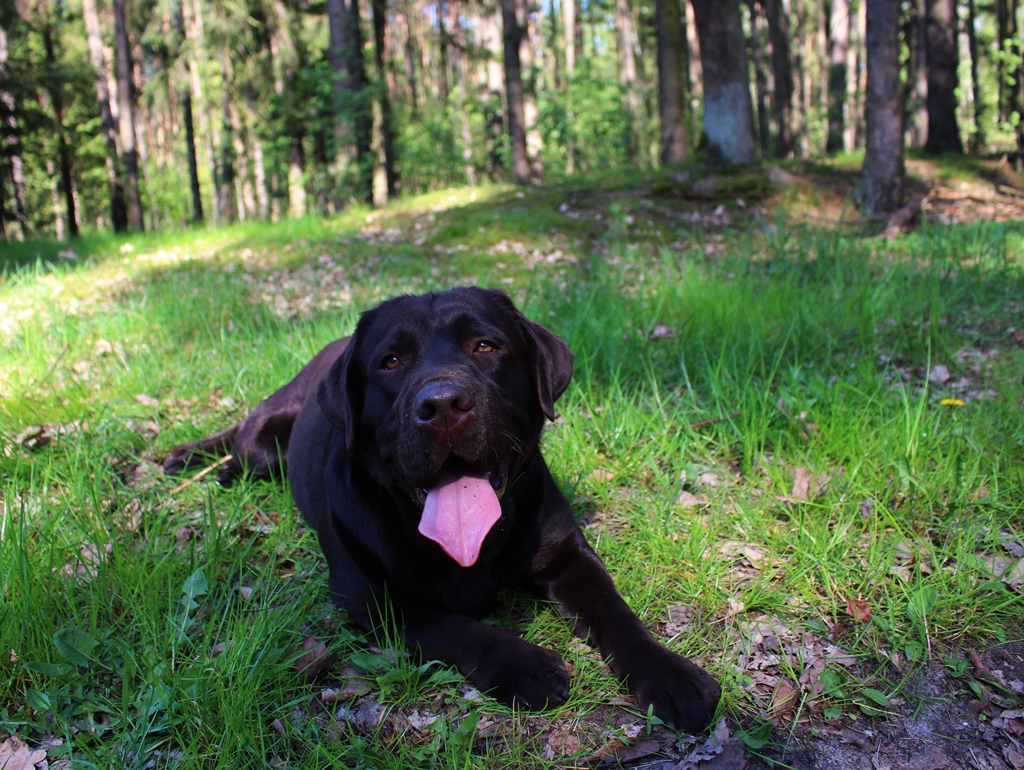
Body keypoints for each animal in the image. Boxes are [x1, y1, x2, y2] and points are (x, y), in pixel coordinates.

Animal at [163, 287, 721, 732]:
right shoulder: (369, 598)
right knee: (240, 433)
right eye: (390, 361)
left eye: (486, 345)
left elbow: (615, 610)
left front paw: (672, 676)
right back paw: (191, 458)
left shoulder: (568, 556)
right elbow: (451, 626)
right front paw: (524, 665)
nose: (443, 404)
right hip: (264, 444)